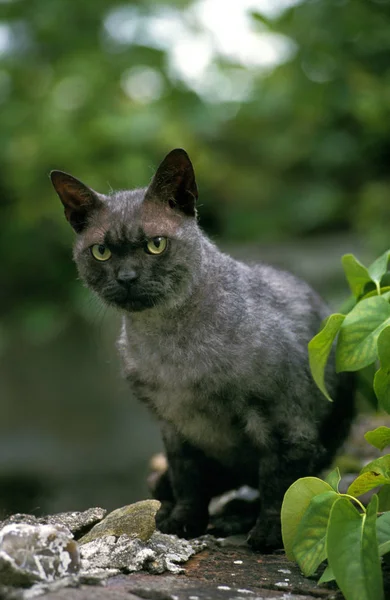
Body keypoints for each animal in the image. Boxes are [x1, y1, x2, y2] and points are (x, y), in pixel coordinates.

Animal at [50, 148, 354, 552]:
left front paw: (268, 536)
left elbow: (279, 486)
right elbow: (188, 480)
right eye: (101, 252)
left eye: (156, 244)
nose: (127, 278)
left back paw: (236, 516)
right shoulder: (176, 427)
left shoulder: (282, 423)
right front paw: (181, 524)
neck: (173, 349)